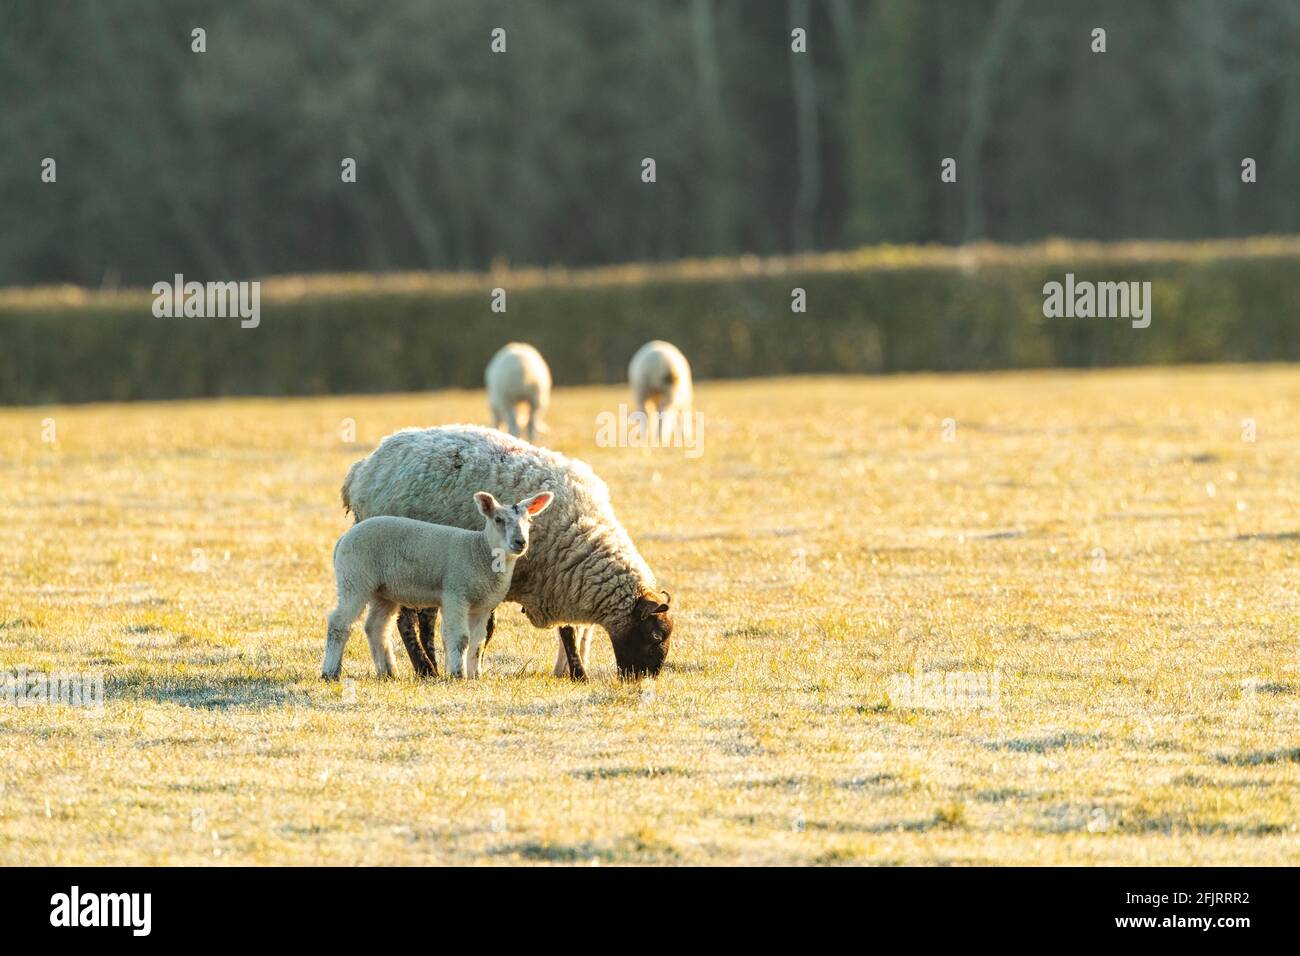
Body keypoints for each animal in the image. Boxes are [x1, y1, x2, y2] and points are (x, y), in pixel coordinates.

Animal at [325, 489, 553, 686]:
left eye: (529, 521)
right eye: (498, 520)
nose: (520, 542)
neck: (479, 551)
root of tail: (343, 538)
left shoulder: (483, 606)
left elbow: (478, 643)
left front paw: (475, 676)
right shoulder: (455, 594)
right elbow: (460, 638)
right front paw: (457, 674)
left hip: (382, 591)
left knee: (376, 628)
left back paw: (389, 673)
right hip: (354, 578)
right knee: (339, 624)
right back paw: (330, 672)